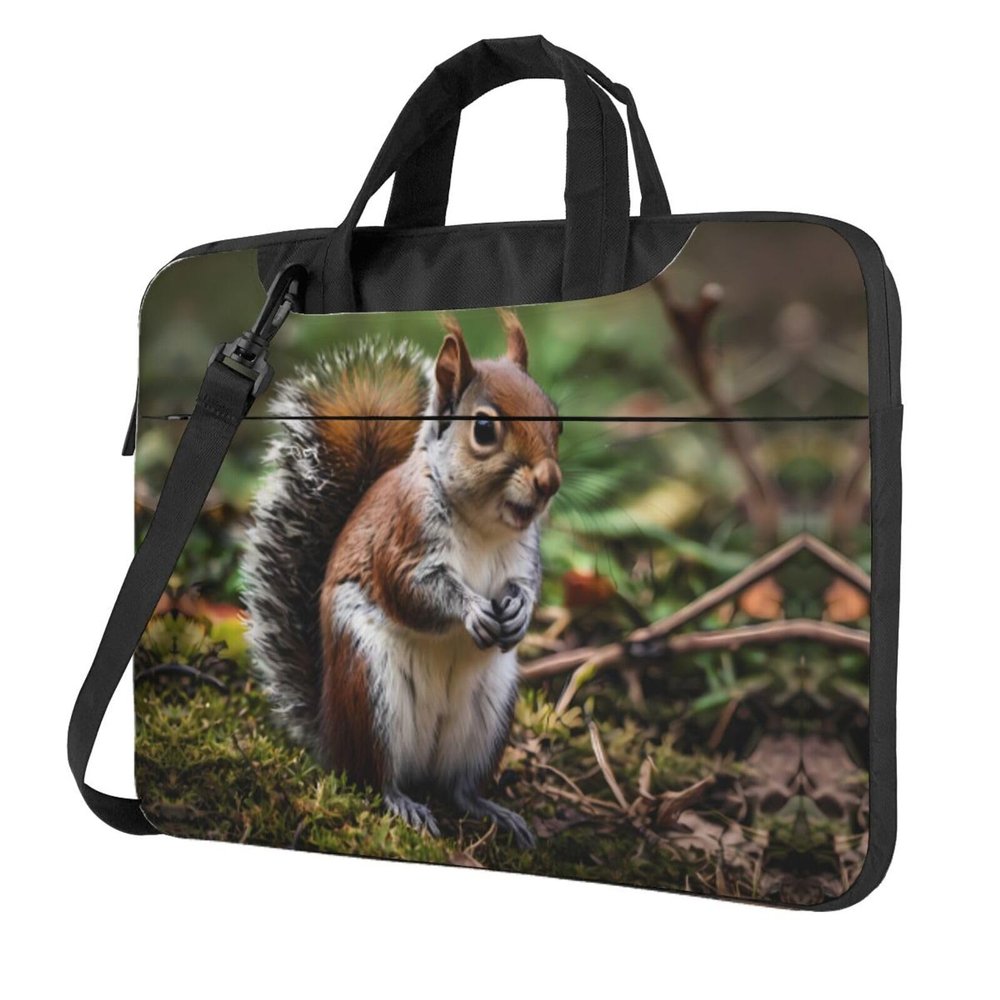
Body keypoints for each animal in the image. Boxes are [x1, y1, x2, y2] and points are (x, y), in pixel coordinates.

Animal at [243, 310, 561, 847]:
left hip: (489, 716)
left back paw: (491, 810)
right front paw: (471, 610)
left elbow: (527, 588)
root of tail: (331, 737)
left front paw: (518, 611)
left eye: (556, 417)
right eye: (483, 428)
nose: (550, 481)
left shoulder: (525, 557)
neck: (481, 525)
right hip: (370, 690)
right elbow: (411, 590)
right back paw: (401, 802)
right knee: (374, 777)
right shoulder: (403, 536)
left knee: (458, 788)